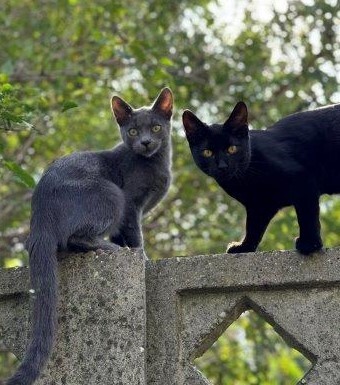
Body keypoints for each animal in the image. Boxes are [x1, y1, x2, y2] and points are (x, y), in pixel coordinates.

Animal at [5, 87, 173, 384]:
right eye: (132, 130)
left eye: (156, 127)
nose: (145, 142)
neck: (156, 164)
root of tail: (40, 220)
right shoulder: (131, 204)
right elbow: (136, 236)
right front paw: (143, 258)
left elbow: (124, 235)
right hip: (111, 195)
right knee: (75, 238)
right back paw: (108, 249)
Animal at [182, 101, 340, 255]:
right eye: (207, 152)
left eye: (232, 149)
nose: (222, 166)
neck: (245, 180)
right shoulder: (259, 205)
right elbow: (253, 228)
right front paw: (244, 247)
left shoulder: (303, 180)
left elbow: (307, 216)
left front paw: (310, 244)